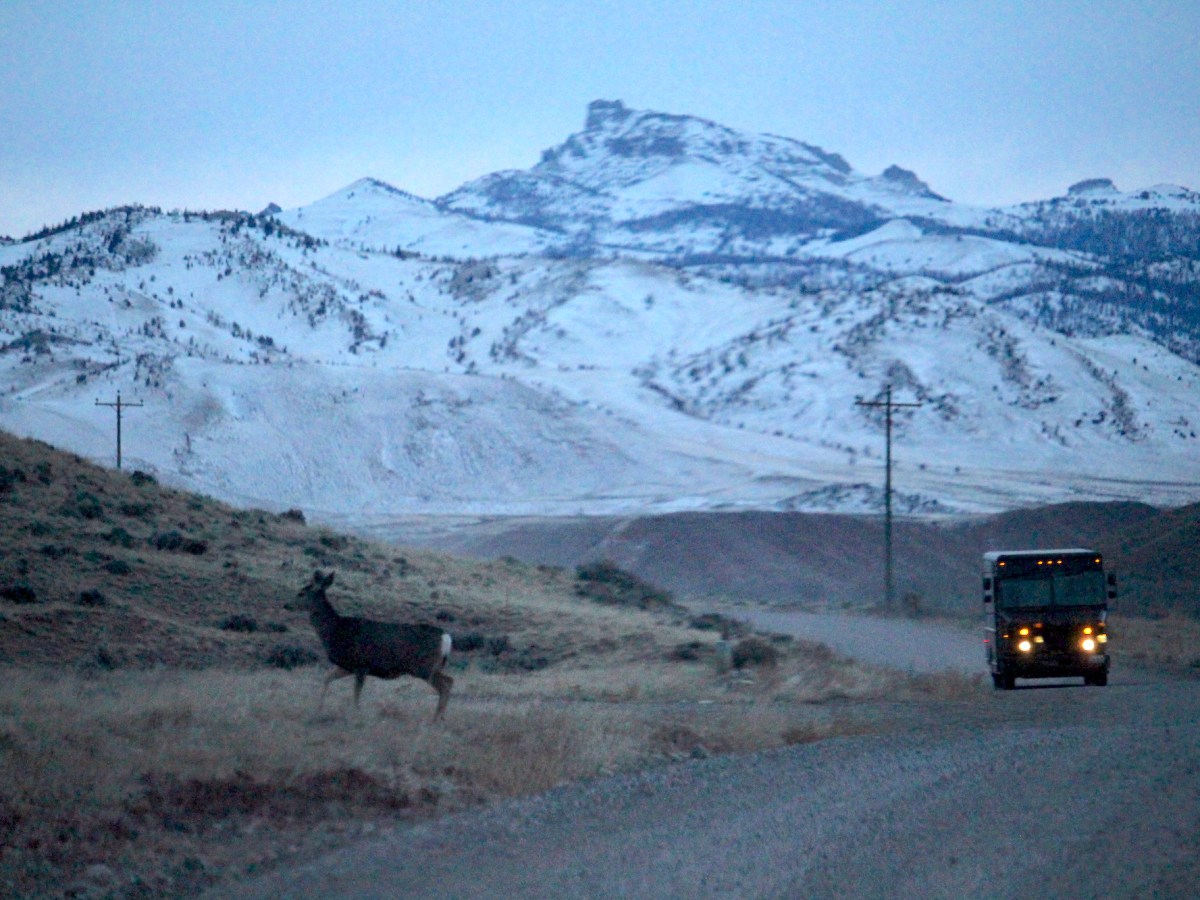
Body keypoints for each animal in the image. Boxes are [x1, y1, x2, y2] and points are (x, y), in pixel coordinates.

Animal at [295, 570, 453, 721]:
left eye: (301, 593)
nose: (289, 604)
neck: (336, 630)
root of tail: (445, 637)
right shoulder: (347, 666)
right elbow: (327, 678)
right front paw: (319, 708)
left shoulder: (361, 664)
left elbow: (356, 693)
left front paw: (356, 713)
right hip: (434, 666)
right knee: (449, 681)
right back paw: (440, 717)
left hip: (424, 667)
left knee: (444, 685)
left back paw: (436, 718)